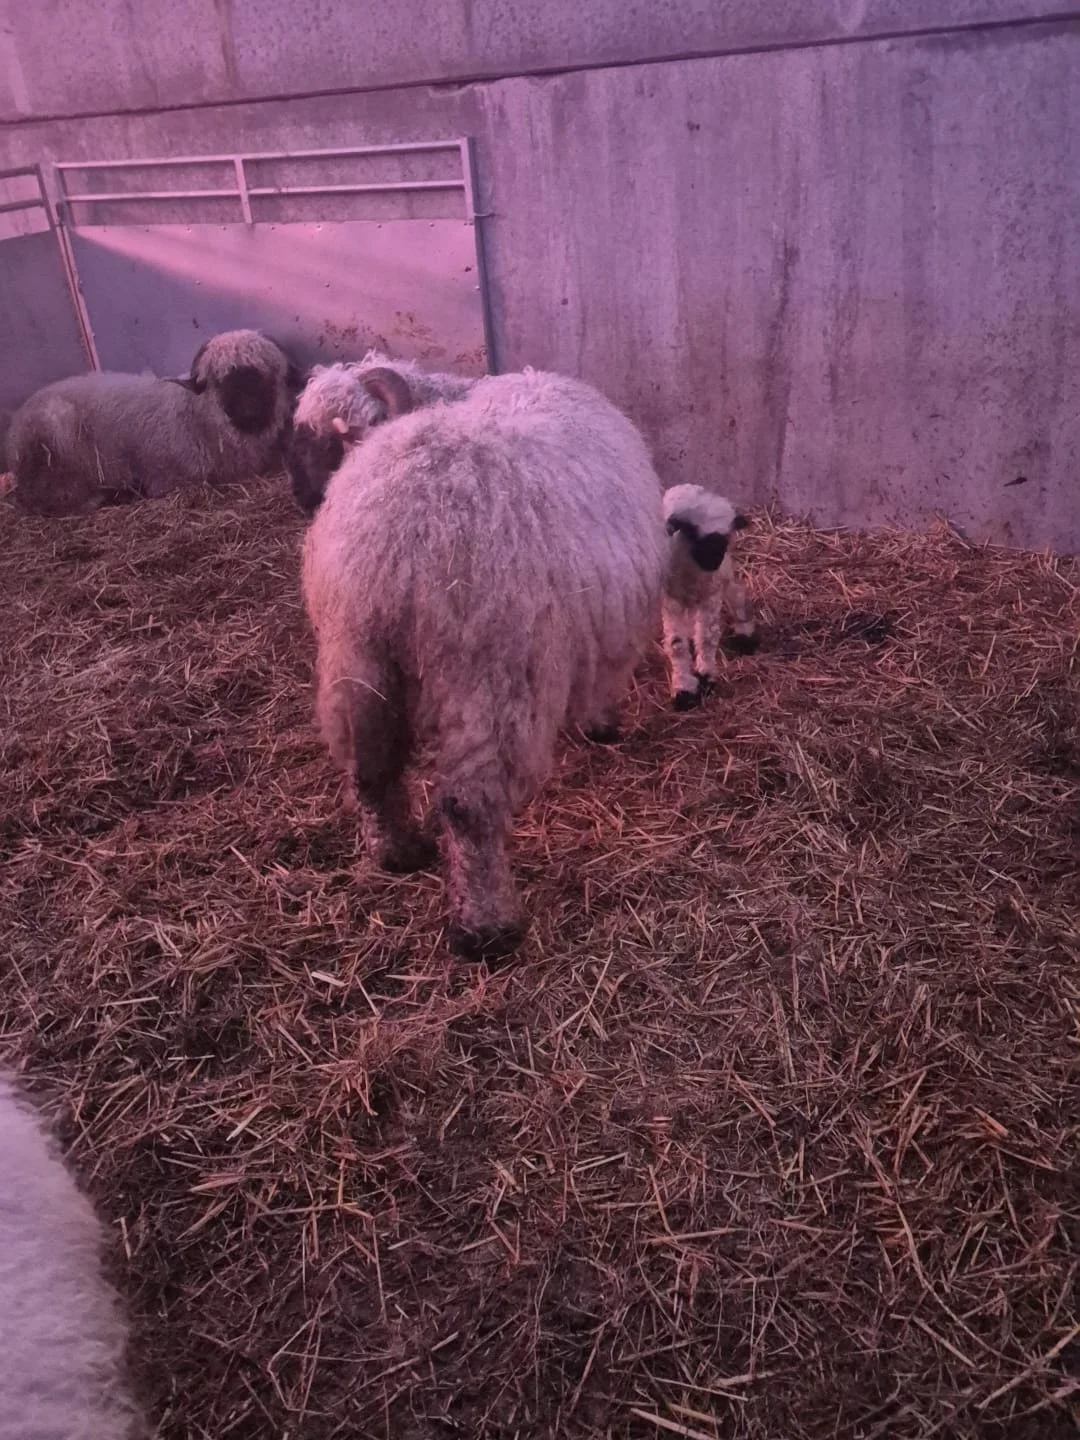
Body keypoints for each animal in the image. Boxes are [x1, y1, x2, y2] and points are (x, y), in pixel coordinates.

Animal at [7, 329, 302, 516]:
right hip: (56, 447)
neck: (195, 415)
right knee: (48, 499)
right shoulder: (169, 479)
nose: (250, 411)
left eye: (263, 374)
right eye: (221, 380)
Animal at [301, 366, 667, 960]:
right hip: (487, 672)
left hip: (358, 659)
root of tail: (398, 542)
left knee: (371, 767)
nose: (308, 493)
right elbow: (601, 683)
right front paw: (601, 725)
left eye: (343, 436)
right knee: (468, 805)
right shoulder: (600, 627)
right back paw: (486, 928)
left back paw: (398, 853)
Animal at [662, 483, 757, 710]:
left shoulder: (711, 594)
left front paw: (705, 675)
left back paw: (745, 630)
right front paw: (683, 688)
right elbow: (677, 645)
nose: (713, 560)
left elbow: (707, 636)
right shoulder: (671, 601)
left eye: (724, 538)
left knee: (735, 591)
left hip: (722, 574)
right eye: (696, 535)